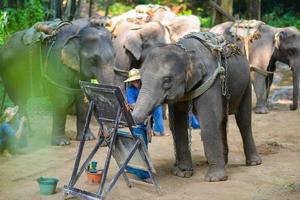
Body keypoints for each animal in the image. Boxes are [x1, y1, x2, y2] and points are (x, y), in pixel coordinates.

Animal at [130, 33, 262, 182]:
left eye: (167, 80)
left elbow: (209, 121)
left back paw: (253, 163)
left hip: (246, 83)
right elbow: (177, 124)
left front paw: (214, 179)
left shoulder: (211, 81)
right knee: (222, 121)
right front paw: (182, 173)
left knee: (243, 120)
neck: (185, 51)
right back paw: (224, 161)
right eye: (141, 78)